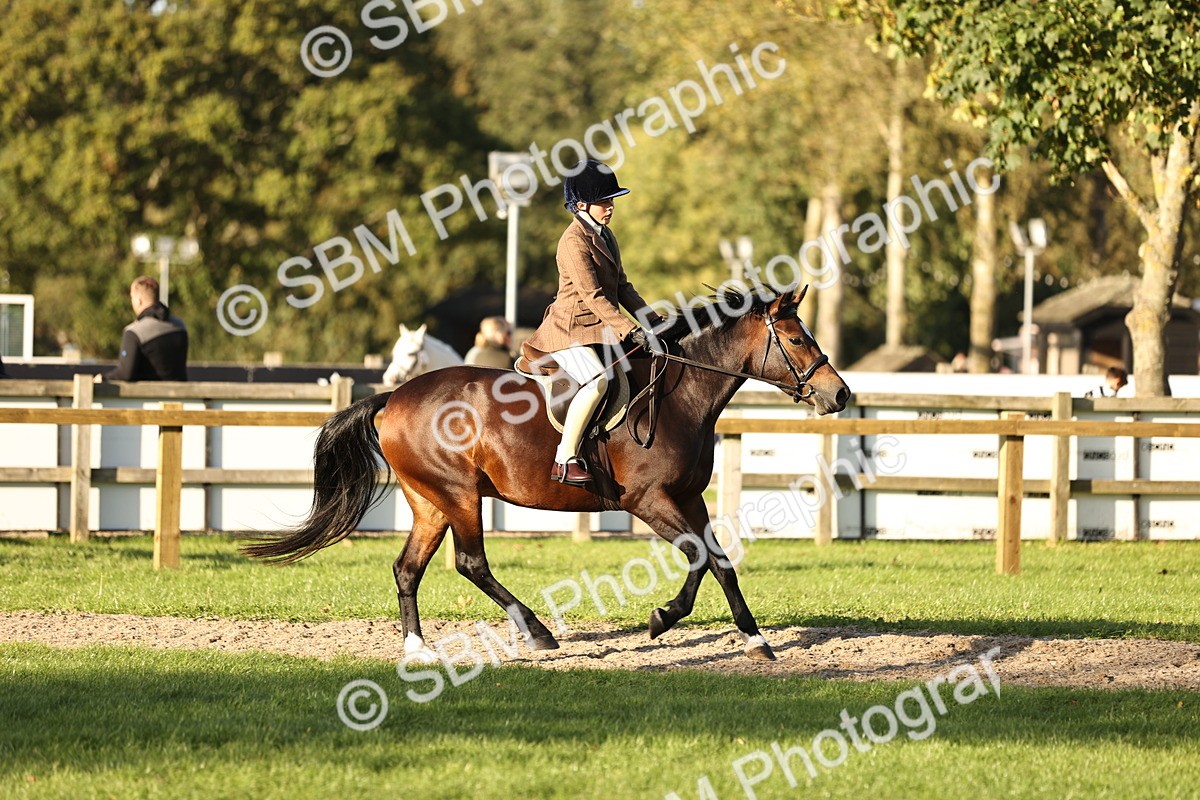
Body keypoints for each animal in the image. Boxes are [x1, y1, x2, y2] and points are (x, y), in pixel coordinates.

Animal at [244, 286, 849, 661]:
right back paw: (535, 632)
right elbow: (701, 559)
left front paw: (755, 639)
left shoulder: (688, 498)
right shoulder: (648, 500)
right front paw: (662, 618)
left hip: (430, 501)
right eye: (797, 339)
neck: (682, 394)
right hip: (459, 495)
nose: (840, 394)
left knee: (407, 568)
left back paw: (418, 648)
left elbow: (720, 562)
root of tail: (394, 396)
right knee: (470, 563)